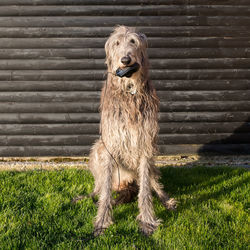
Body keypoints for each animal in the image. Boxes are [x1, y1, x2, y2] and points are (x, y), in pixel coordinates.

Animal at [88, 25, 176, 236]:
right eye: (117, 43)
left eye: (133, 42)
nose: (126, 60)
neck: (129, 90)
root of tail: (125, 183)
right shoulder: (110, 143)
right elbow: (105, 191)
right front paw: (102, 220)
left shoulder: (145, 143)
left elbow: (145, 189)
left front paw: (147, 220)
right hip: (98, 149)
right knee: (100, 187)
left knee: (152, 182)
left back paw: (166, 200)